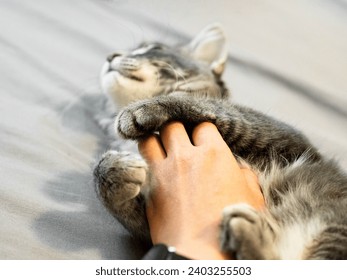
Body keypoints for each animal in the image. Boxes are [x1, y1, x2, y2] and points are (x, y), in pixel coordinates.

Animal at [93, 23, 347, 260]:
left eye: (154, 48)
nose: (110, 56)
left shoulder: (289, 140)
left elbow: (210, 105)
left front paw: (142, 108)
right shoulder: (156, 221)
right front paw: (114, 172)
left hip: (335, 223)